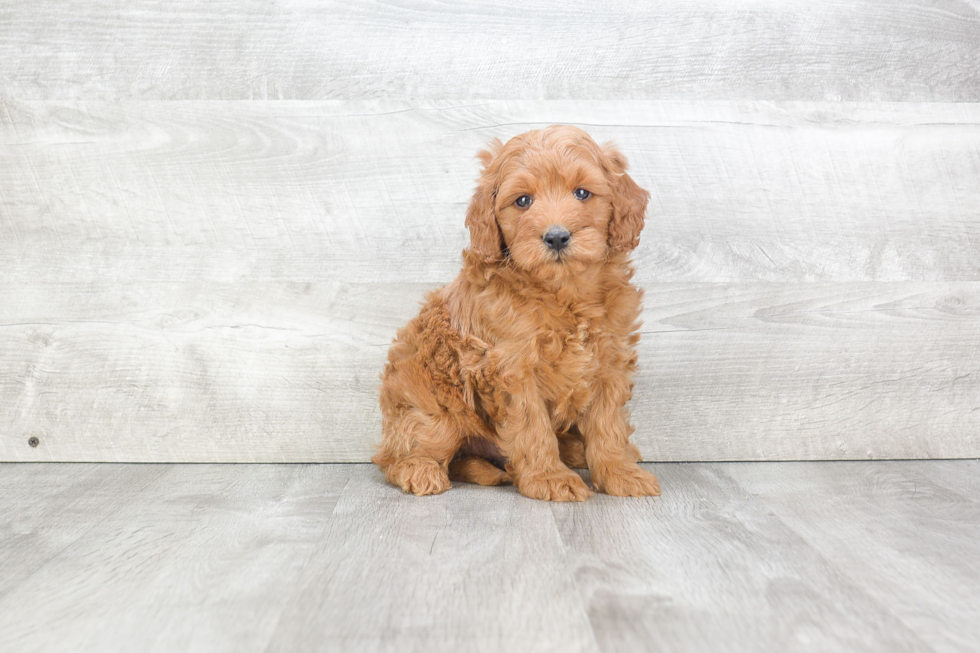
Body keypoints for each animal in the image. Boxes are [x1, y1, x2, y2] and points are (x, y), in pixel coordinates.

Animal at [372, 125, 664, 500]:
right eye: (523, 201)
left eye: (582, 193)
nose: (556, 237)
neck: (563, 291)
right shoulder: (512, 369)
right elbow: (532, 427)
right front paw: (549, 478)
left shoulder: (609, 363)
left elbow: (607, 425)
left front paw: (619, 472)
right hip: (437, 415)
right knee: (398, 455)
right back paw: (420, 470)